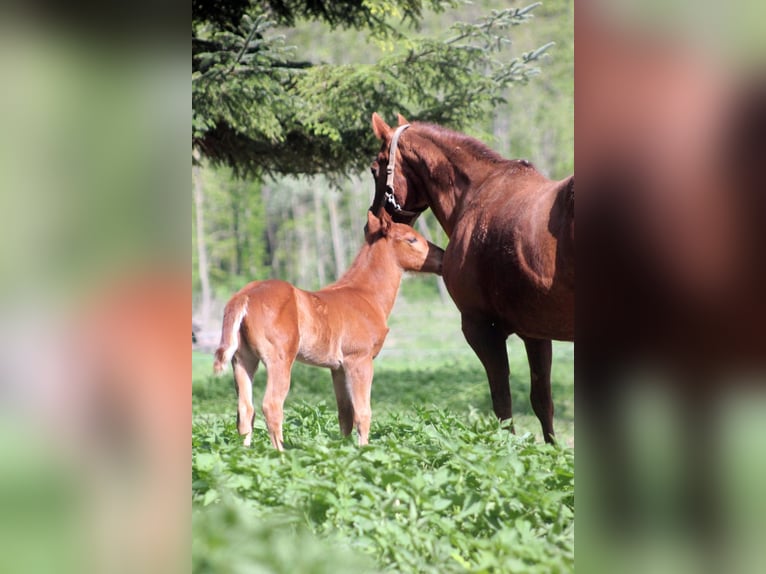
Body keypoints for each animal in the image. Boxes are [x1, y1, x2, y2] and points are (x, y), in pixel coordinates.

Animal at [213, 210, 444, 451]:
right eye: (412, 239)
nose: (443, 256)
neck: (366, 296)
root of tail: (243, 297)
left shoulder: (338, 367)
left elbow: (345, 414)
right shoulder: (359, 359)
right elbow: (363, 413)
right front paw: (363, 450)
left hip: (243, 358)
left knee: (245, 409)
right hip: (279, 359)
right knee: (271, 405)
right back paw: (281, 453)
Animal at [369, 113, 574, 443]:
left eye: (375, 168)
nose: (374, 219)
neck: (476, 193)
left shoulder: (480, 328)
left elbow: (502, 403)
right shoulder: (536, 332)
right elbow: (542, 401)